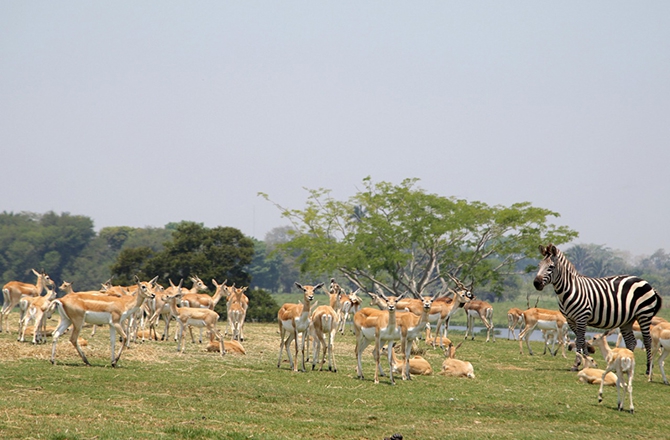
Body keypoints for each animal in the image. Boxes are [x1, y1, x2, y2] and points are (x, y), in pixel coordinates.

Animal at [533, 243, 662, 375]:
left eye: (551, 267)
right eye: (539, 265)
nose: (536, 283)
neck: (569, 290)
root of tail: (646, 283)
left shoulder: (582, 317)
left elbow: (579, 341)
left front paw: (577, 364)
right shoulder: (571, 320)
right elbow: (582, 340)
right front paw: (587, 361)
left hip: (644, 315)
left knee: (647, 340)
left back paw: (648, 369)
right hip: (627, 320)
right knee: (631, 342)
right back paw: (625, 365)